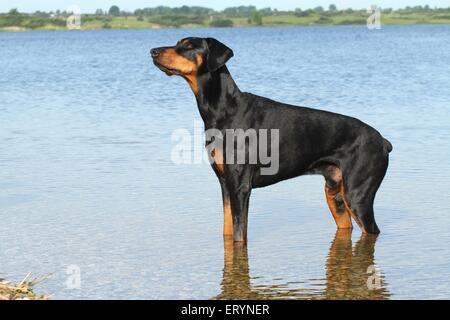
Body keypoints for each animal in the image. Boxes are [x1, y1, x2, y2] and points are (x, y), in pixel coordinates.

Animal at [150, 37, 390, 242]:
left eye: (189, 45)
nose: (153, 51)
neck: (223, 110)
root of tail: (383, 142)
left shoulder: (240, 187)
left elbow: (239, 236)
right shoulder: (226, 184)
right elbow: (228, 230)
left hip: (357, 196)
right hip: (335, 195)